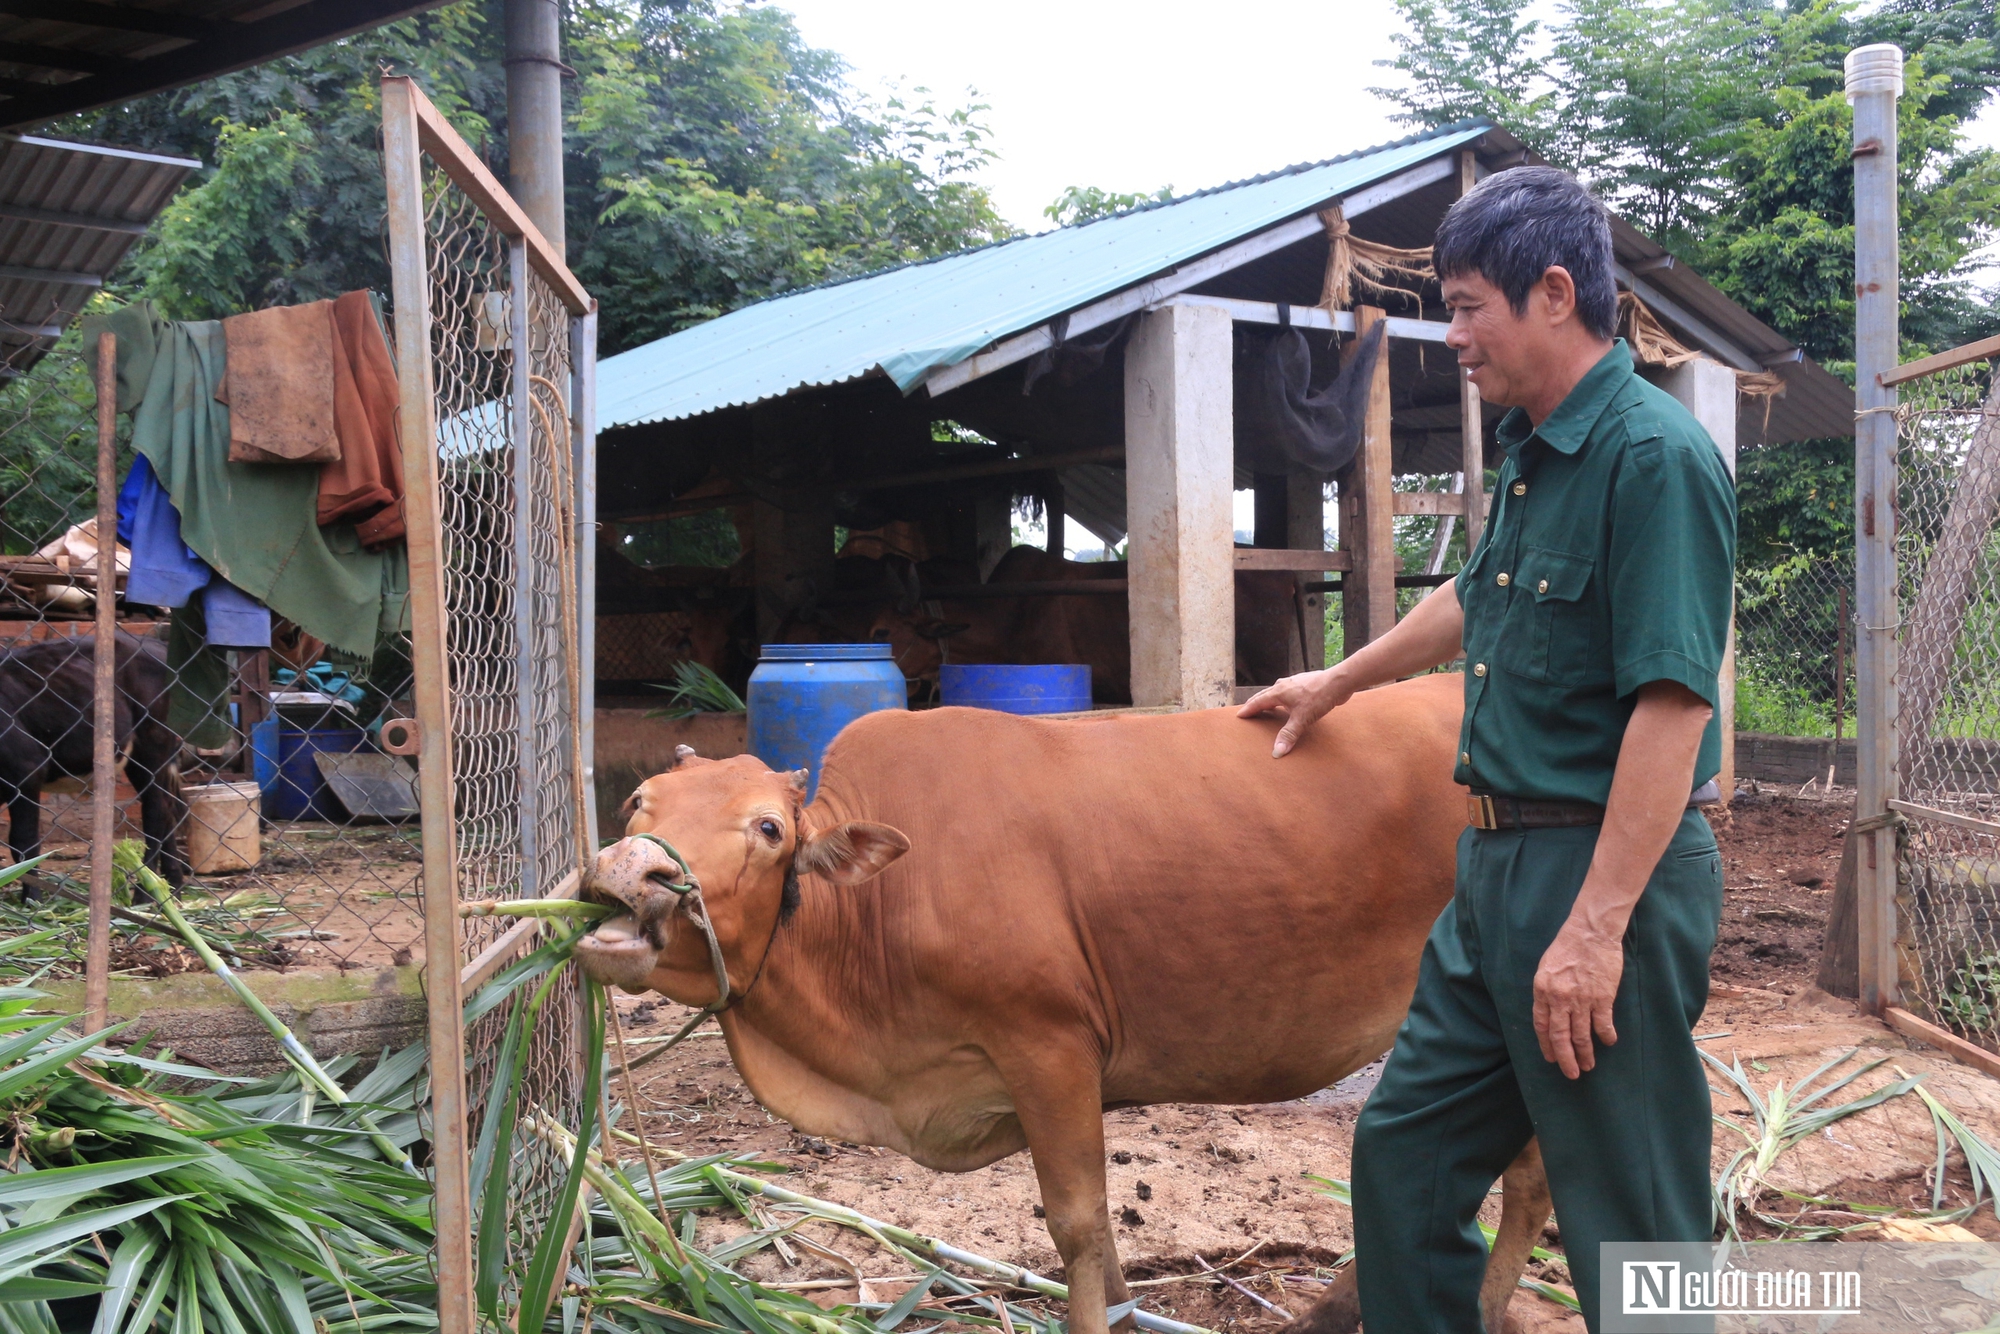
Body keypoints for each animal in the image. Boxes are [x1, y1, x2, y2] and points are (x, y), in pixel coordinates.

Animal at [0, 632, 186, 892]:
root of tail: (153, 643)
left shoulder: (25, 770)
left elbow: (23, 844)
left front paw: (32, 899)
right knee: (167, 808)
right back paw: (172, 885)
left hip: (151, 745)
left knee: (156, 813)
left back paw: (146, 894)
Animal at [572, 672, 1552, 1334]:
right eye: (636, 801)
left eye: (768, 828)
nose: (630, 874)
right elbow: (1099, 1244)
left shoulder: (1047, 1046)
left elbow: (1077, 1226)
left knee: (1526, 1184)